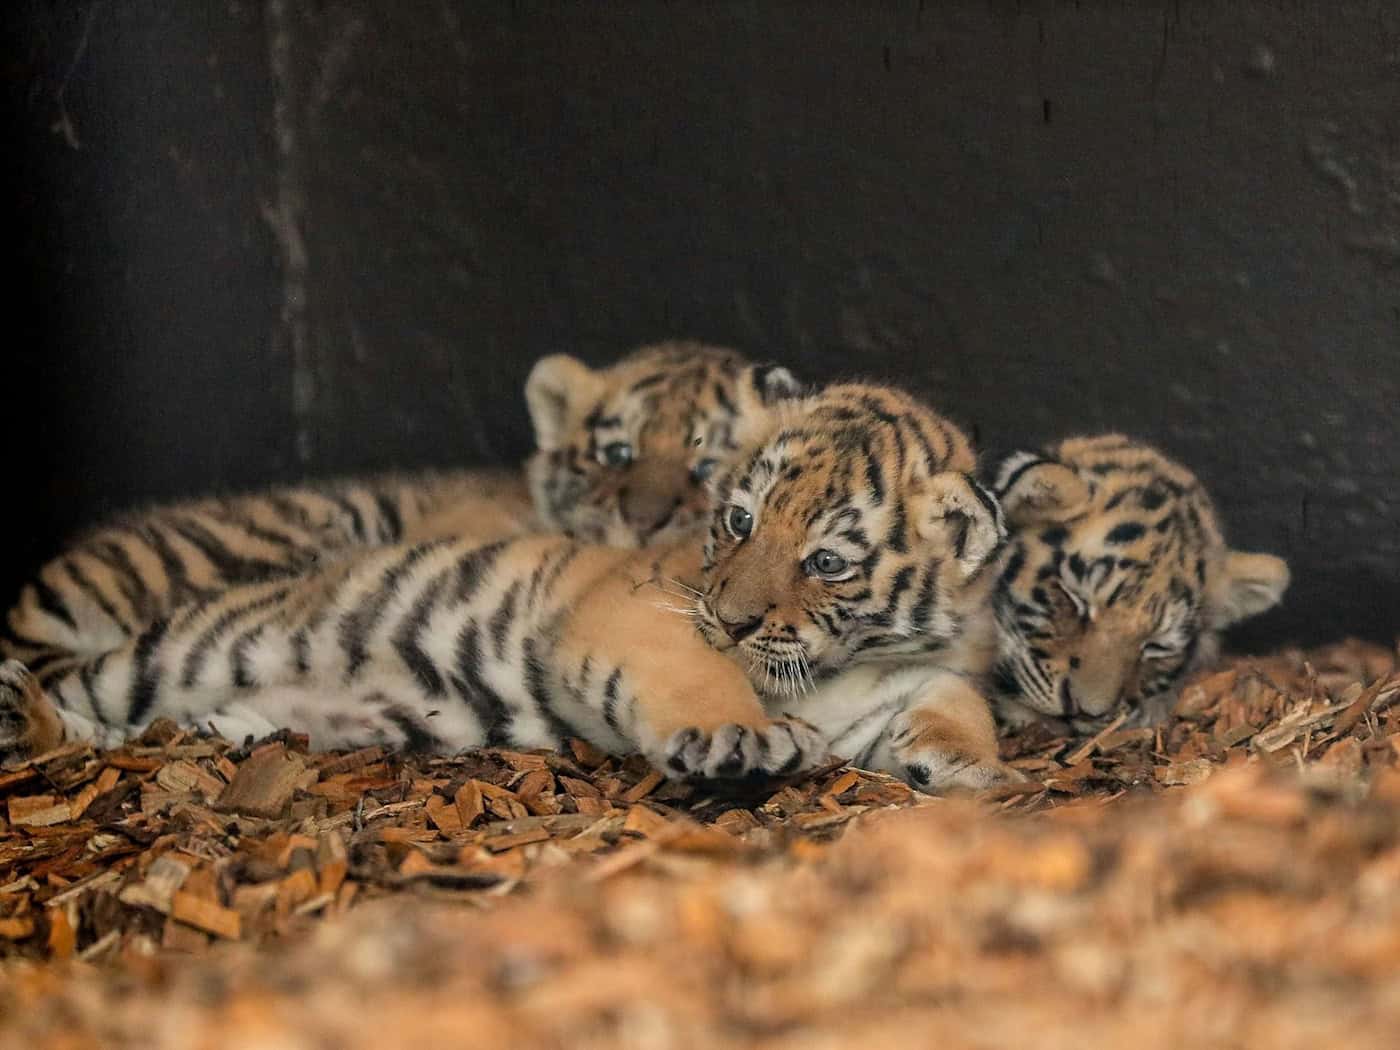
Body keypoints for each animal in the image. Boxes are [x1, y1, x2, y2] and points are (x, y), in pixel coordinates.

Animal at [0, 382, 1015, 790]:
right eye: (739, 520)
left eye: (828, 562)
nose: (731, 619)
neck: (844, 663)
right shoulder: (644, 612)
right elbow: (702, 676)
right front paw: (746, 733)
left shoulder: (914, 667)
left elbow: (956, 694)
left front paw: (962, 760)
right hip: (173, 647)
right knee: (77, 701)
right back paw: (24, 712)